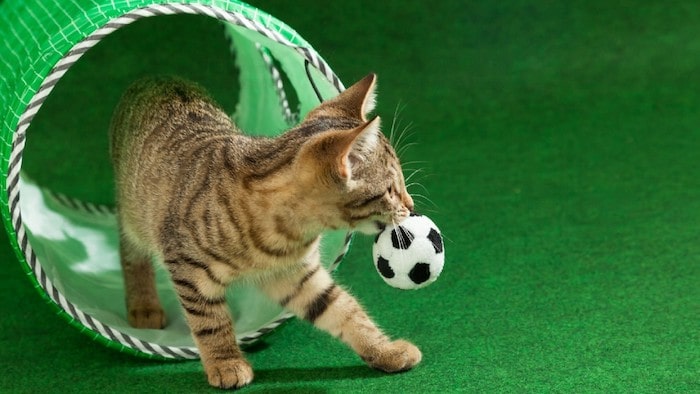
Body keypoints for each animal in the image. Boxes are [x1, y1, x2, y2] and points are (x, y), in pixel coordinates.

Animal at [109, 73, 422, 388]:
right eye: (391, 190)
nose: (411, 206)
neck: (288, 233)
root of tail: (157, 77)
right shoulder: (189, 269)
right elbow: (210, 321)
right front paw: (225, 362)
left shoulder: (298, 275)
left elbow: (346, 311)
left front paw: (385, 350)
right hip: (134, 214)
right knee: (130, 252)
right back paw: (144, 306)